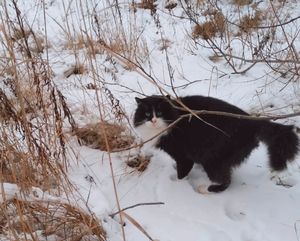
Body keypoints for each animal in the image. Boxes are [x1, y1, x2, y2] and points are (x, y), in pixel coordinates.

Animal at [134, 95, 300, 193]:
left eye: (159, 113)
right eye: (147, 114)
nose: (153, 120)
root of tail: (252, 122)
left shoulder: (183, 156)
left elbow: (182, 172)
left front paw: (179, 184)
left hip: (213, 158)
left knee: (226, 180)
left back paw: (207, 188)